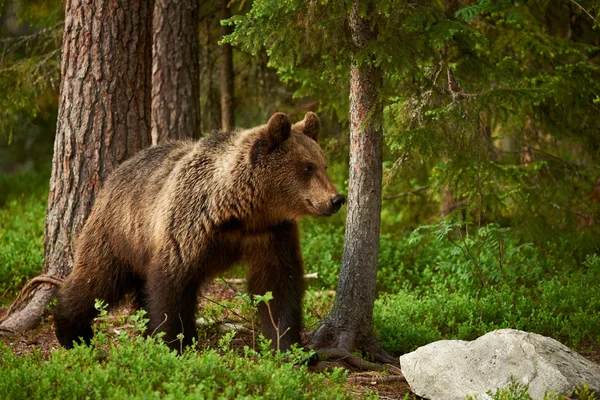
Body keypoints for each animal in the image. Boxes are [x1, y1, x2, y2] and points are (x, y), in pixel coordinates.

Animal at [54, 111, 344, 352]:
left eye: (323, 165)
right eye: (307, 167)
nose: (336, 199)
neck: (242, 211)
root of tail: (117, 171)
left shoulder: (272, 233)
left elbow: (279, 285)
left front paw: (289, 346)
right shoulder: (189, 225)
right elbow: (171, 285)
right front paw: (174, 343)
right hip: (119, 232)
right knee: (98, 279)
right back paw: (72, 331)